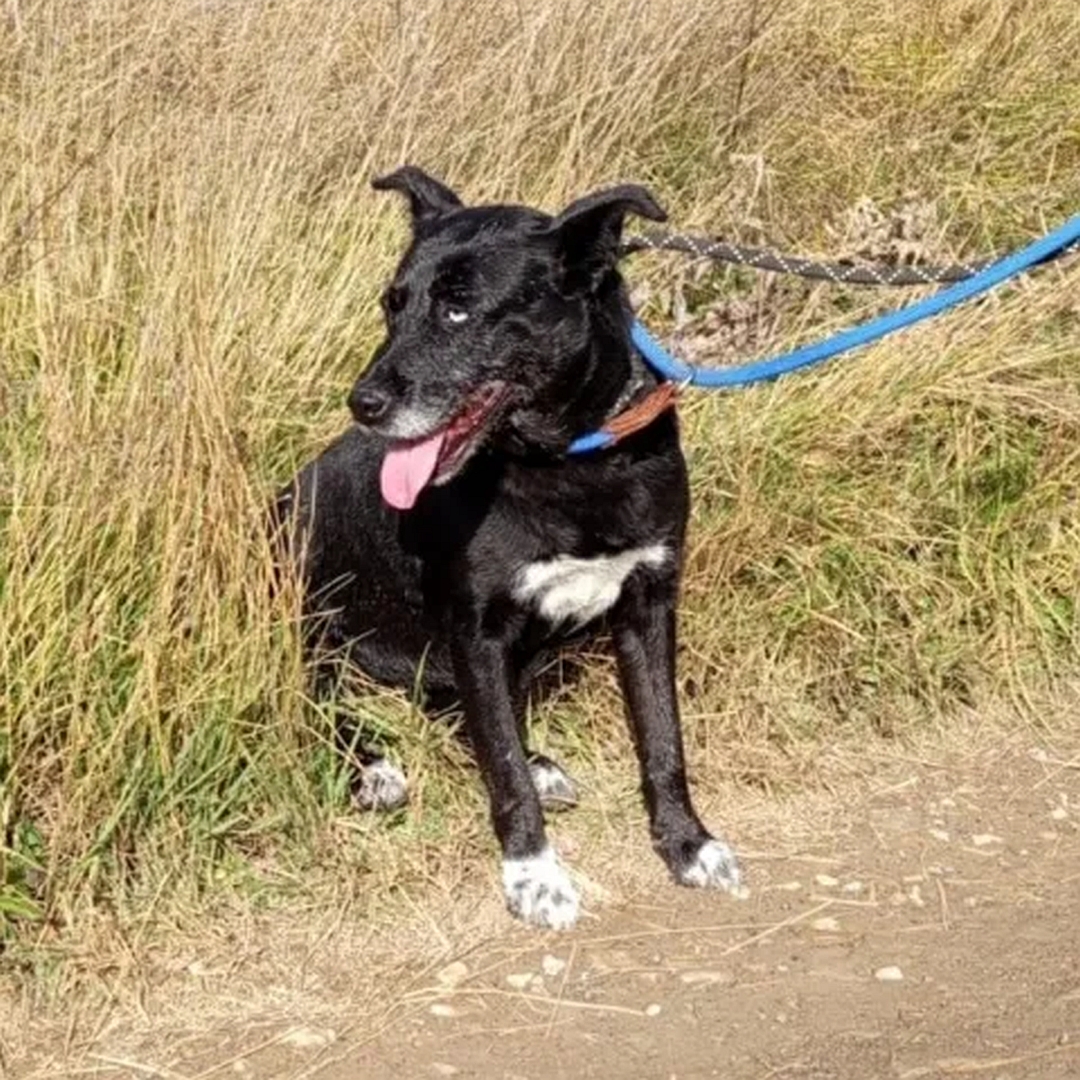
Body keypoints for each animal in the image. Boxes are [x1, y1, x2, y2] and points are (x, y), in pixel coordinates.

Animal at [274, 168, 738, 928]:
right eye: (391, 307)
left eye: (459, 311)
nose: (362, 404)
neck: (570, 459)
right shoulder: (477, 630)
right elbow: (502, 767)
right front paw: (534, 874)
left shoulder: (647, 605)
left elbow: (662, 739)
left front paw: (687, 843)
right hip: (307, 624)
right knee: (322, 706)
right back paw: (374, 769)